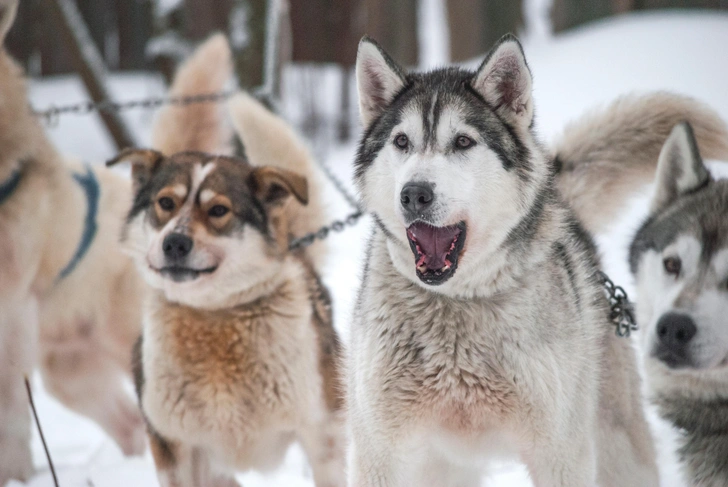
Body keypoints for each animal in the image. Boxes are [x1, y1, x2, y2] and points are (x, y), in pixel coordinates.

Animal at [108, 36, 346, 487]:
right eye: (165, 203)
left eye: (218, 210)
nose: (175, 243)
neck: (214, 316)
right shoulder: (174, 449)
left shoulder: (321, 435)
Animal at [346, 32, 660, 486]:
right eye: (401, 142)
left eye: (462, 141)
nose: (414, 194)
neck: (457, 305)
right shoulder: (381, 452)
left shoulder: (559, 454)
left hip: (616, 449)